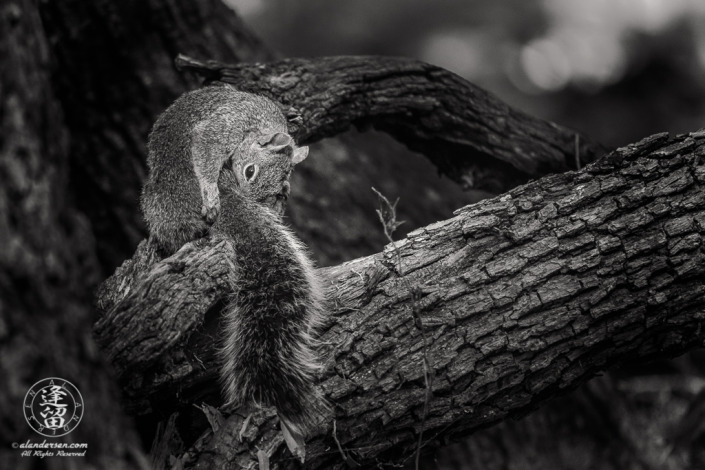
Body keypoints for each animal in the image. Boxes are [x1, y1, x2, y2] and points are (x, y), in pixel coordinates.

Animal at [141, 87, 328, 440]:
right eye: (250, 171)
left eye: (274, 189)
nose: (259, 200)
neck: (260, 126)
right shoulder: (226, 127)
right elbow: (205, 147)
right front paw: (210, 187)